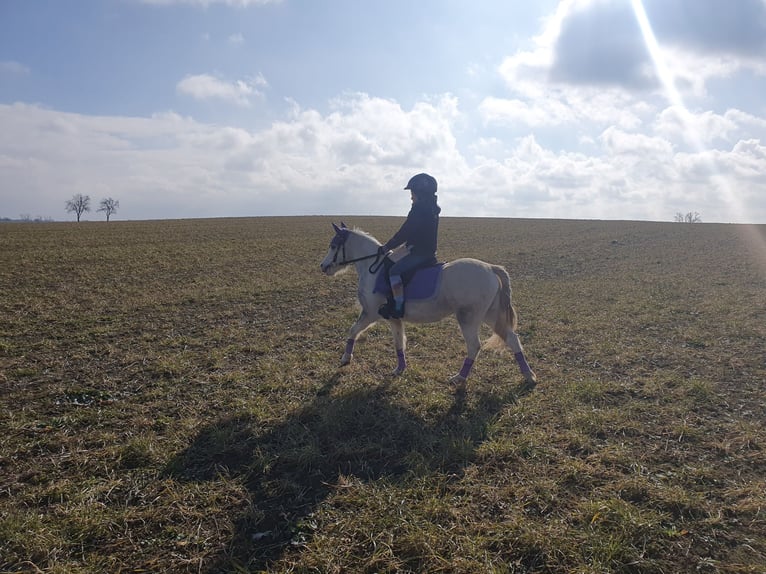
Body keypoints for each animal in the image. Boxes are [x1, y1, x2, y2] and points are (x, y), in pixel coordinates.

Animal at [320, 223, 540, 394]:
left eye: (333, 246)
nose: (323, 266)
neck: (372, 269)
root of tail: (490, 268)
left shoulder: (371, 314)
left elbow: (353, 331)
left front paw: (345, 358)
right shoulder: (394, 318)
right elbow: (399, 342)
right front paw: (399, 369)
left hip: (469, 317)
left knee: (474, 346)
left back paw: (459, 378)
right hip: (491, 314)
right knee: (512, 338)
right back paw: (529, 376)